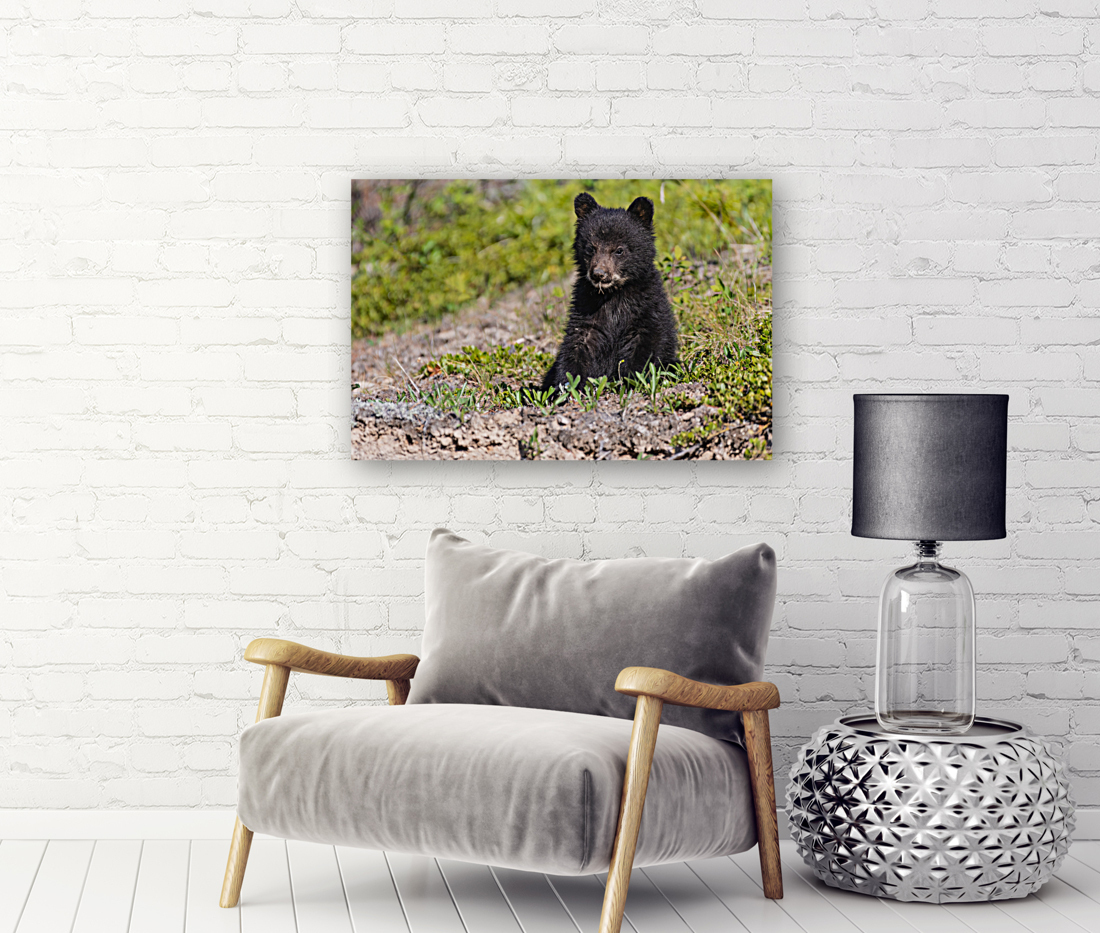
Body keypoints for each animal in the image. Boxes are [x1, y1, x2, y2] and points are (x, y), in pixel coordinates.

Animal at [541, 192, 678, 391]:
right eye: (591, 248)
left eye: (619, 250)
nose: (599, 274)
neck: (613, 295)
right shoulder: (585, 310)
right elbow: (575, 347)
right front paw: (566, 386)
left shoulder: (647, 310)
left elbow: (646, 348)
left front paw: (631, 380)